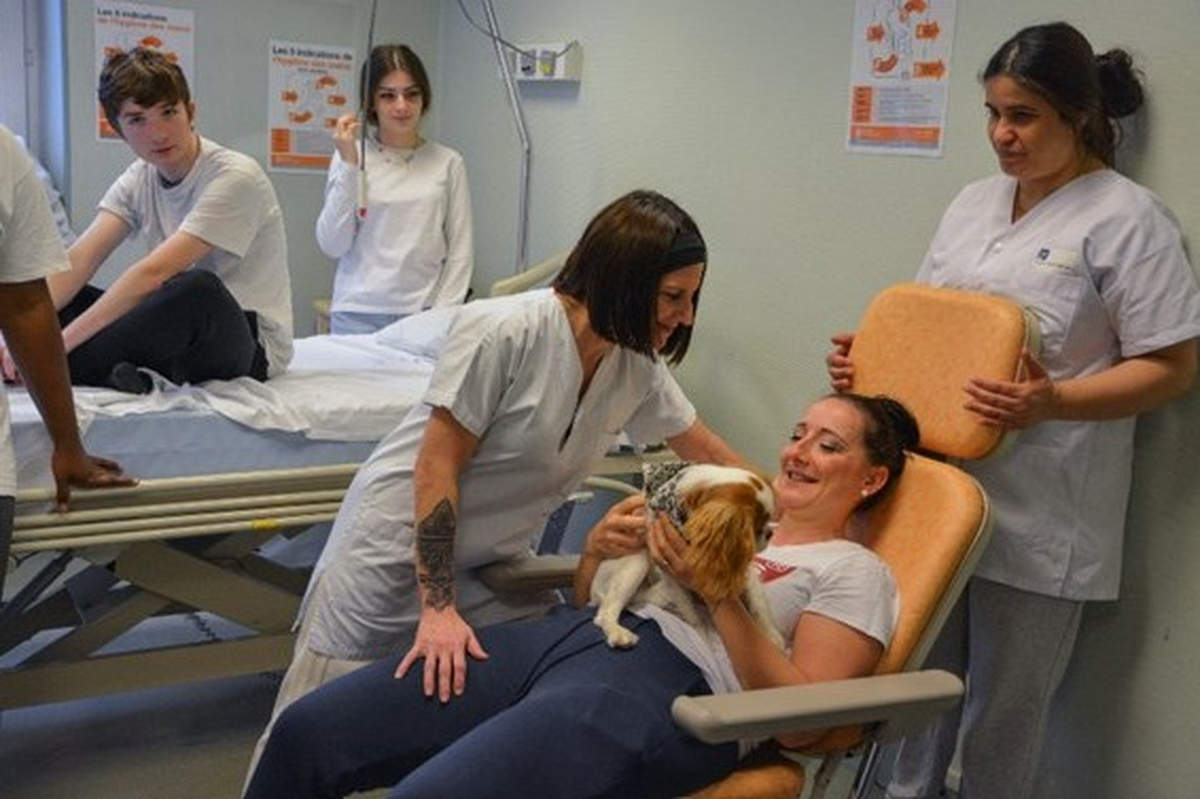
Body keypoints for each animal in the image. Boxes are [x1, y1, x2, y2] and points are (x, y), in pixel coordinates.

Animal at [585, 460, 782, 647]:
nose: (770, 533)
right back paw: (618, 633)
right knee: (604, 613)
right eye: (756, 528)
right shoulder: (670, 571)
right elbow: (692, 616)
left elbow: (758, 601)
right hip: (637, 560)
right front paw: (704, 640)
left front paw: (772, 635)